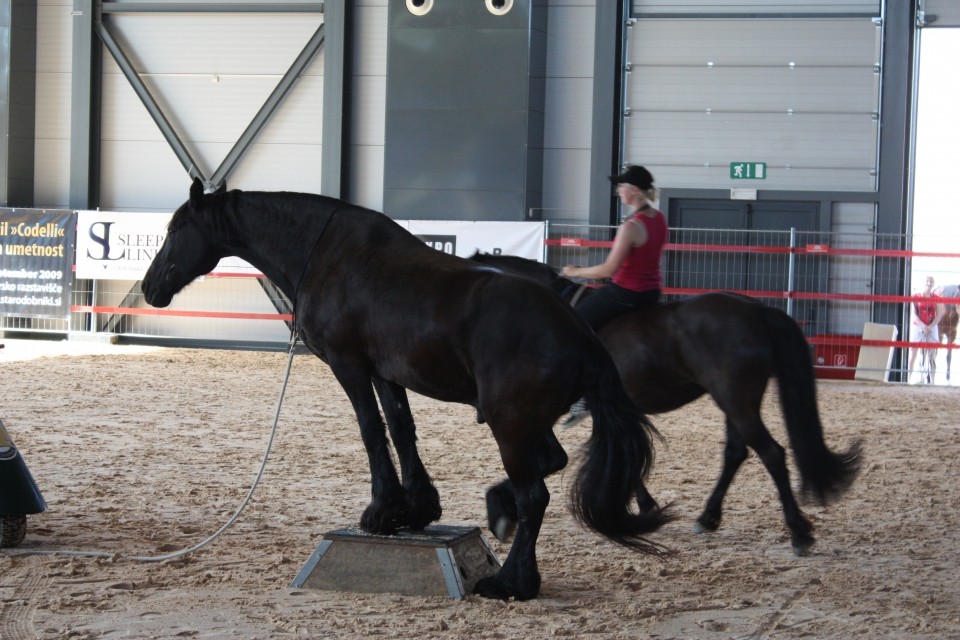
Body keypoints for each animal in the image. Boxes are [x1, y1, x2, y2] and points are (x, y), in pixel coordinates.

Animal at [141, 179, 676, 600]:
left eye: (174, 231)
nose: (149, 288)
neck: (329, 254)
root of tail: (578, 331)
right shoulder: (385, 373)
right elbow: (401, 429)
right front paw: (416, 507)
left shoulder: (349, 366)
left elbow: (371, 430)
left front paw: (381, 509)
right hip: (526, 423)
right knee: (549, 465)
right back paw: (499, 516)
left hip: (511, 424)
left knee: (535, 495)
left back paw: (512, 581)